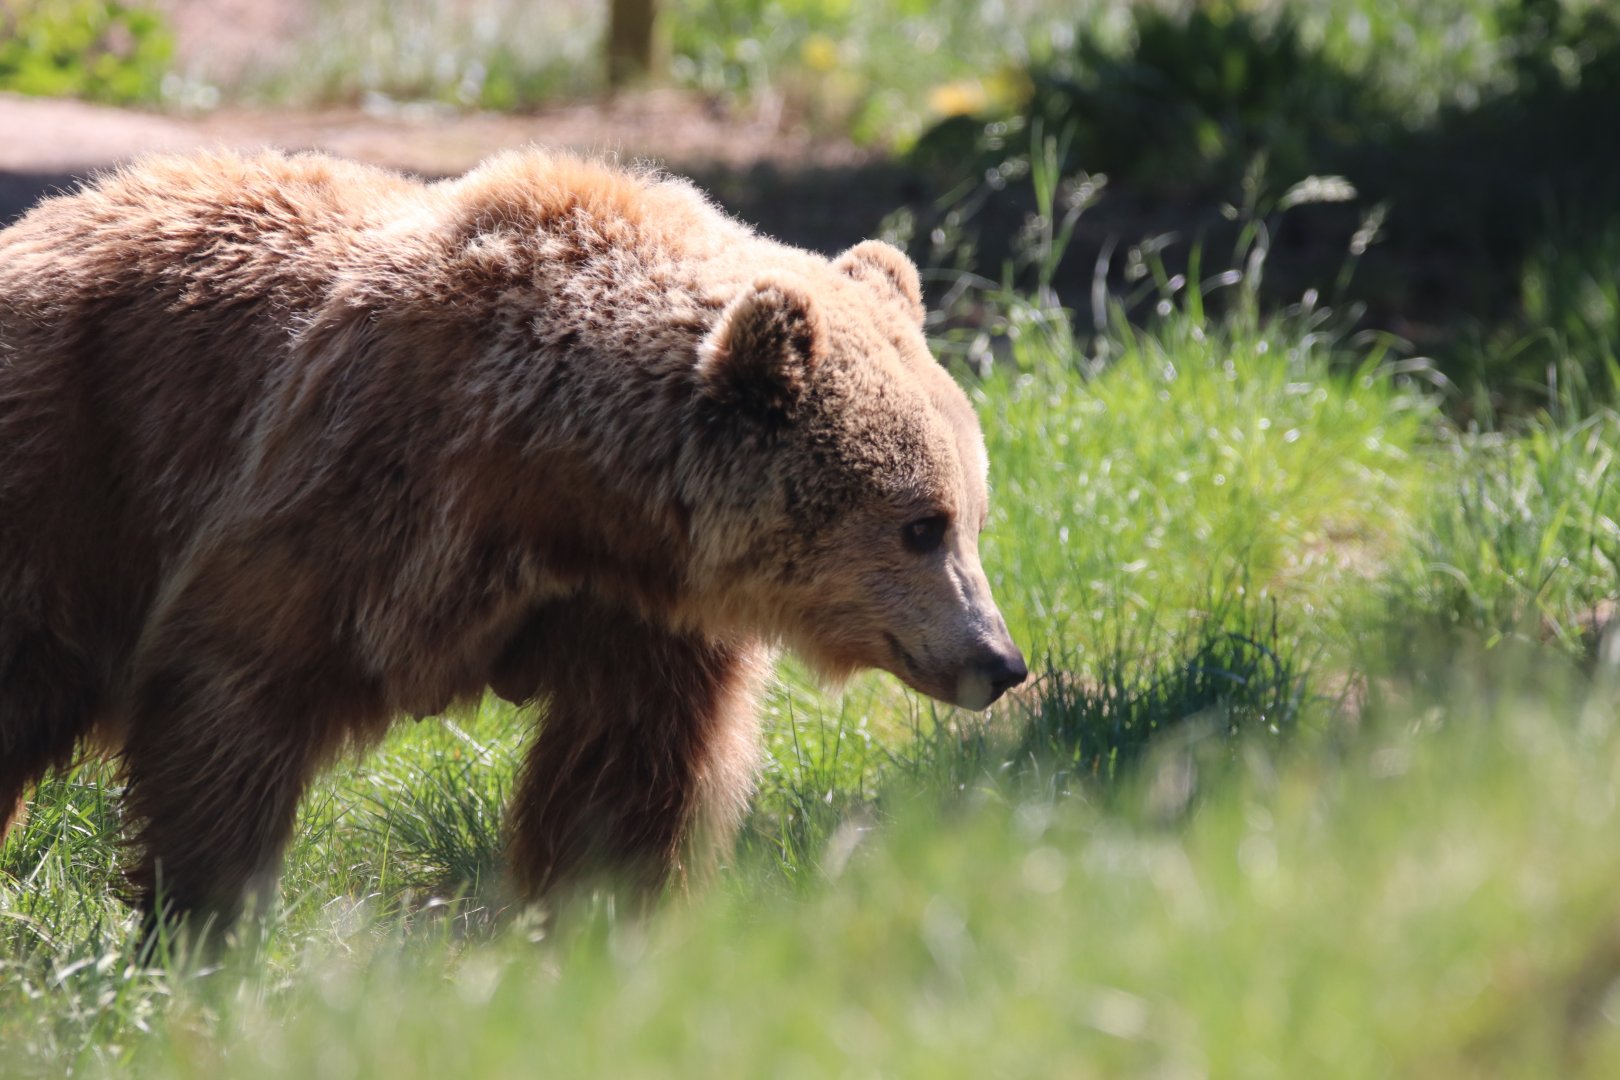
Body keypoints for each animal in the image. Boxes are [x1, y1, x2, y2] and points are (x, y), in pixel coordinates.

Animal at [0, 148, 1026, 924]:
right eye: (921, 525)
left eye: (974, 516)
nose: (1000, 660)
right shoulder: (340, 507)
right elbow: (231, 708)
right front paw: (201, 927)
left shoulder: (637, 619)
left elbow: (626, 780)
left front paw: (597, 921)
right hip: (64, 478)